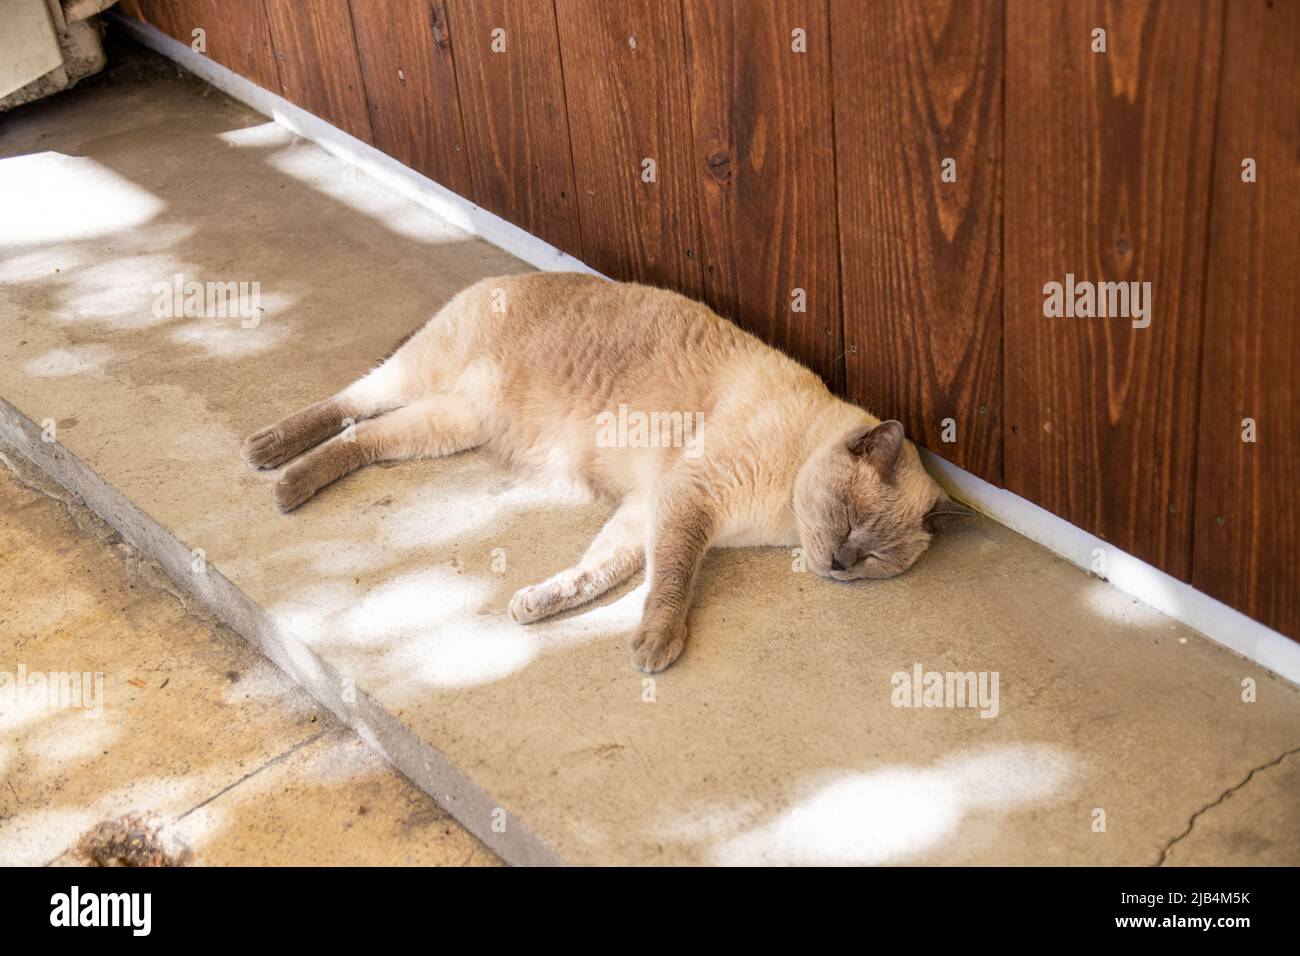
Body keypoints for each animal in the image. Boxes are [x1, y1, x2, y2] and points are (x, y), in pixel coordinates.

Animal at [244, 269, 977, 671]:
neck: (780, 517)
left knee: (364, 438)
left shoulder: (648, 511)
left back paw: (288, 485)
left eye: (878, 557)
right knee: (351, 402)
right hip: (423, 376)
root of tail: (502, 279)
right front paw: (656, 646)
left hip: (446, 427)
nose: (843, 566)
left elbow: (597, 573)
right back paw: (268, 459)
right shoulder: (688, 500)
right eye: (849, 523)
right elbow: (672, 582)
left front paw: (535, 607)